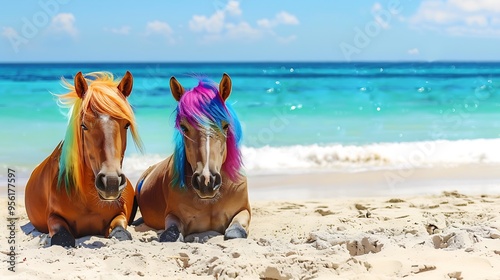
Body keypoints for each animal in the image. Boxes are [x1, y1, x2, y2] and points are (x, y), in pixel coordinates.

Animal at [25, 70, 143, 247]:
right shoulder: (54, 218)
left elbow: (121, 233)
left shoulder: (120, 215)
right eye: (83, 125)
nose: (111, 183)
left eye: (126, 125)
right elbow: (62, 238)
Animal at [135, 73, 250, 242]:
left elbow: (235, 232)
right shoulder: (173, 216)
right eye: (183, 127)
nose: (206, 181)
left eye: (226, 125)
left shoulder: (244, 211)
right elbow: (170, 235)